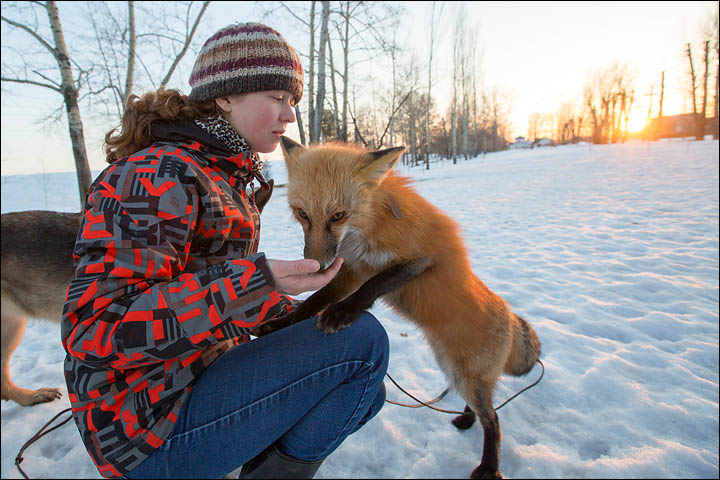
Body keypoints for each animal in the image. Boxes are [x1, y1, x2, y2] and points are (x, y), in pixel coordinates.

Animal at [253, 137, 540, 478]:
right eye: (302, 214)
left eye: (338, 215)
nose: (317, 265)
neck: (370, 227)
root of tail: (510, 316)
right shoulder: (352, 270)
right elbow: (316, 299)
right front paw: (284, 322)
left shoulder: (421, 259)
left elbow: (375, 285)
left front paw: (342, 313)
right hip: (457, 373)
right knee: (485, 411)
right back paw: (467, 420)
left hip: (464, 377)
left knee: (494, 420)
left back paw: (488, 467)